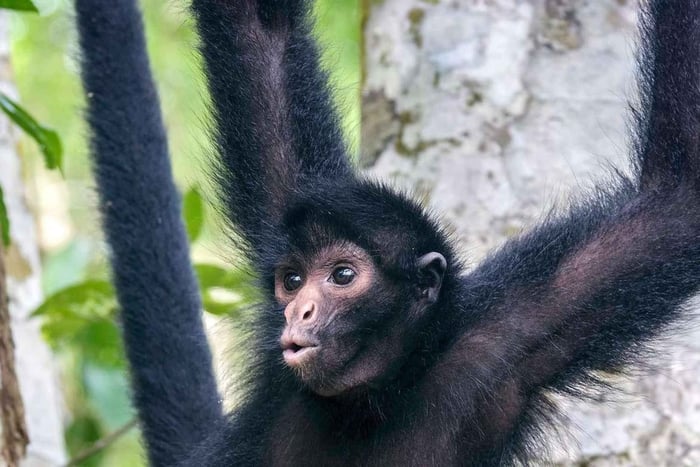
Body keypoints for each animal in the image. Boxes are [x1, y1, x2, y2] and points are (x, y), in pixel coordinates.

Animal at [74, 0, 700, 465]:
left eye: (342, 275)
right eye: (291, 281)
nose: (299, 311)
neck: (370, 402)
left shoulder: (512, 332)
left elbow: (676, 200)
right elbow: (260, 31)